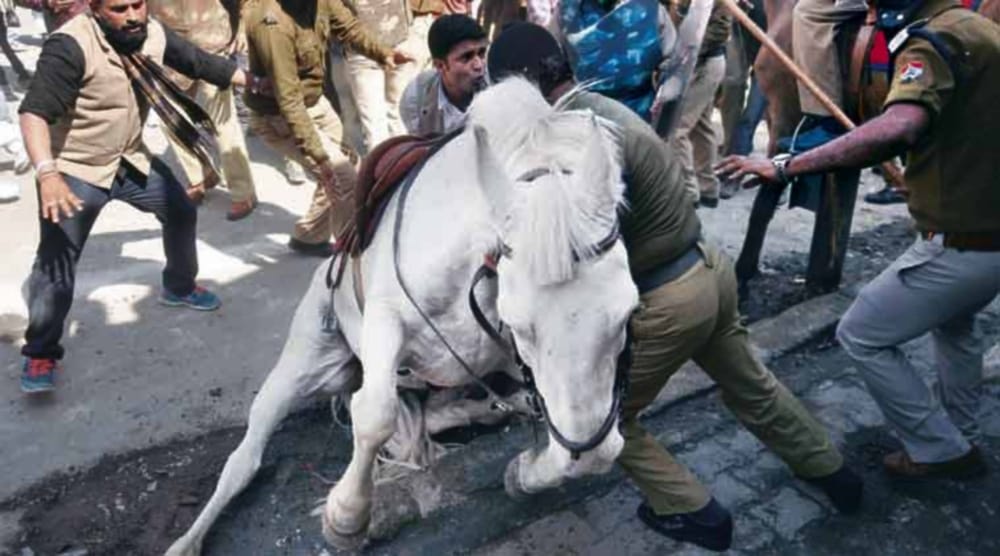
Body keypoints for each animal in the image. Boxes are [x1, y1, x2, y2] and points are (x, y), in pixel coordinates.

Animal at [165, 77, 639, 555]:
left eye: (627, 313)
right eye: (521, 326)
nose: (588, 450)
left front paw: (525, 472)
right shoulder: (385, 318)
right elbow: (375, 414)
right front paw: (346, 518)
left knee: (449, 412)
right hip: (304, 362)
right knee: (245, 458)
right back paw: (187, 540)